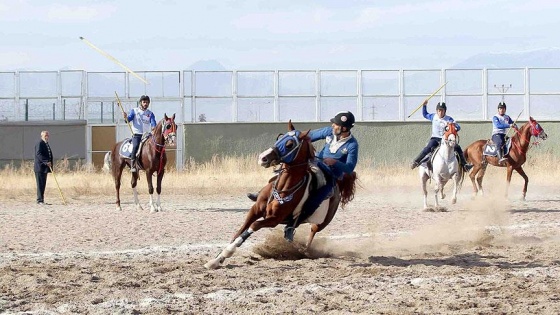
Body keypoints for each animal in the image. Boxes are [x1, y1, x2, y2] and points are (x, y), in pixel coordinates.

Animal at [203, 119, 356, 270]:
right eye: (279, 137)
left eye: (289, 144)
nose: (263, 158)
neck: (283, 188)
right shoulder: (255, 210)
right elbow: (240, 231)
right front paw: (217, 259)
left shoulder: (274, 220)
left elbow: (253, 227)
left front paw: (226, 253)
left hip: (322, 222)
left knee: (312, 232)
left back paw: (305, 251)